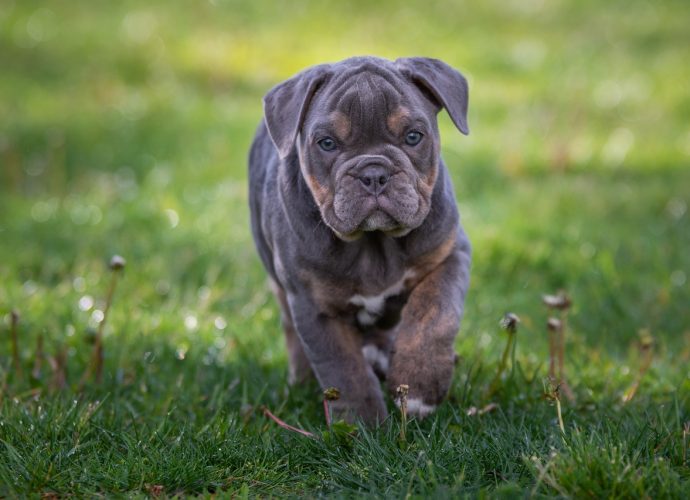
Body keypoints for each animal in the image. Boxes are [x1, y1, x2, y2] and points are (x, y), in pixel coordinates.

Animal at [250, 56, 470, 424]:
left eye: (414, 136)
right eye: (326, 143)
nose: (374, 173)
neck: (374, 243)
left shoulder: (450, 255)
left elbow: (434, 316)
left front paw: (419, 386)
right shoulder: (315, 307)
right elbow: (344, 370)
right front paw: (363, 424)